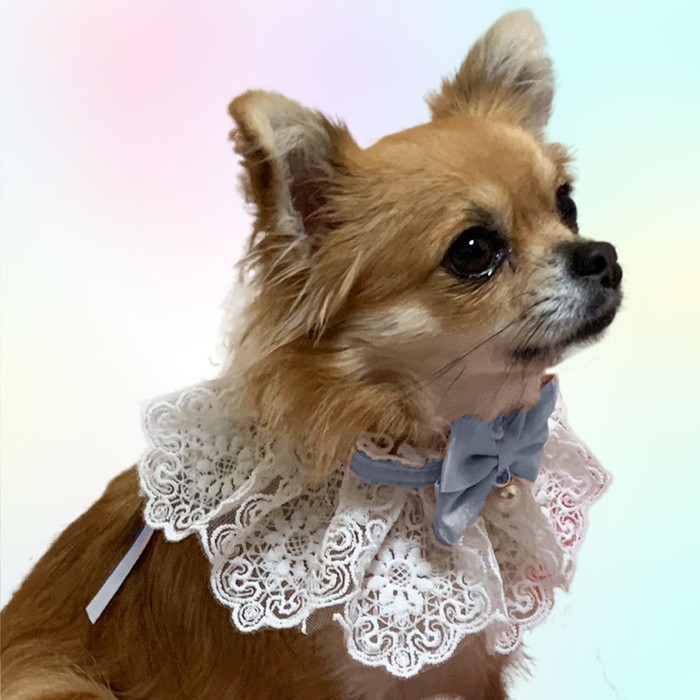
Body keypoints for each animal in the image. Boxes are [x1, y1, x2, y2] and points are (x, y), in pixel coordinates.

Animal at [1, 10, 621, 699]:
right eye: (473, 251)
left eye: (567, 204)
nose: (602, 256)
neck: (426, 460)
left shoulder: (473, 674)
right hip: (55, 680)